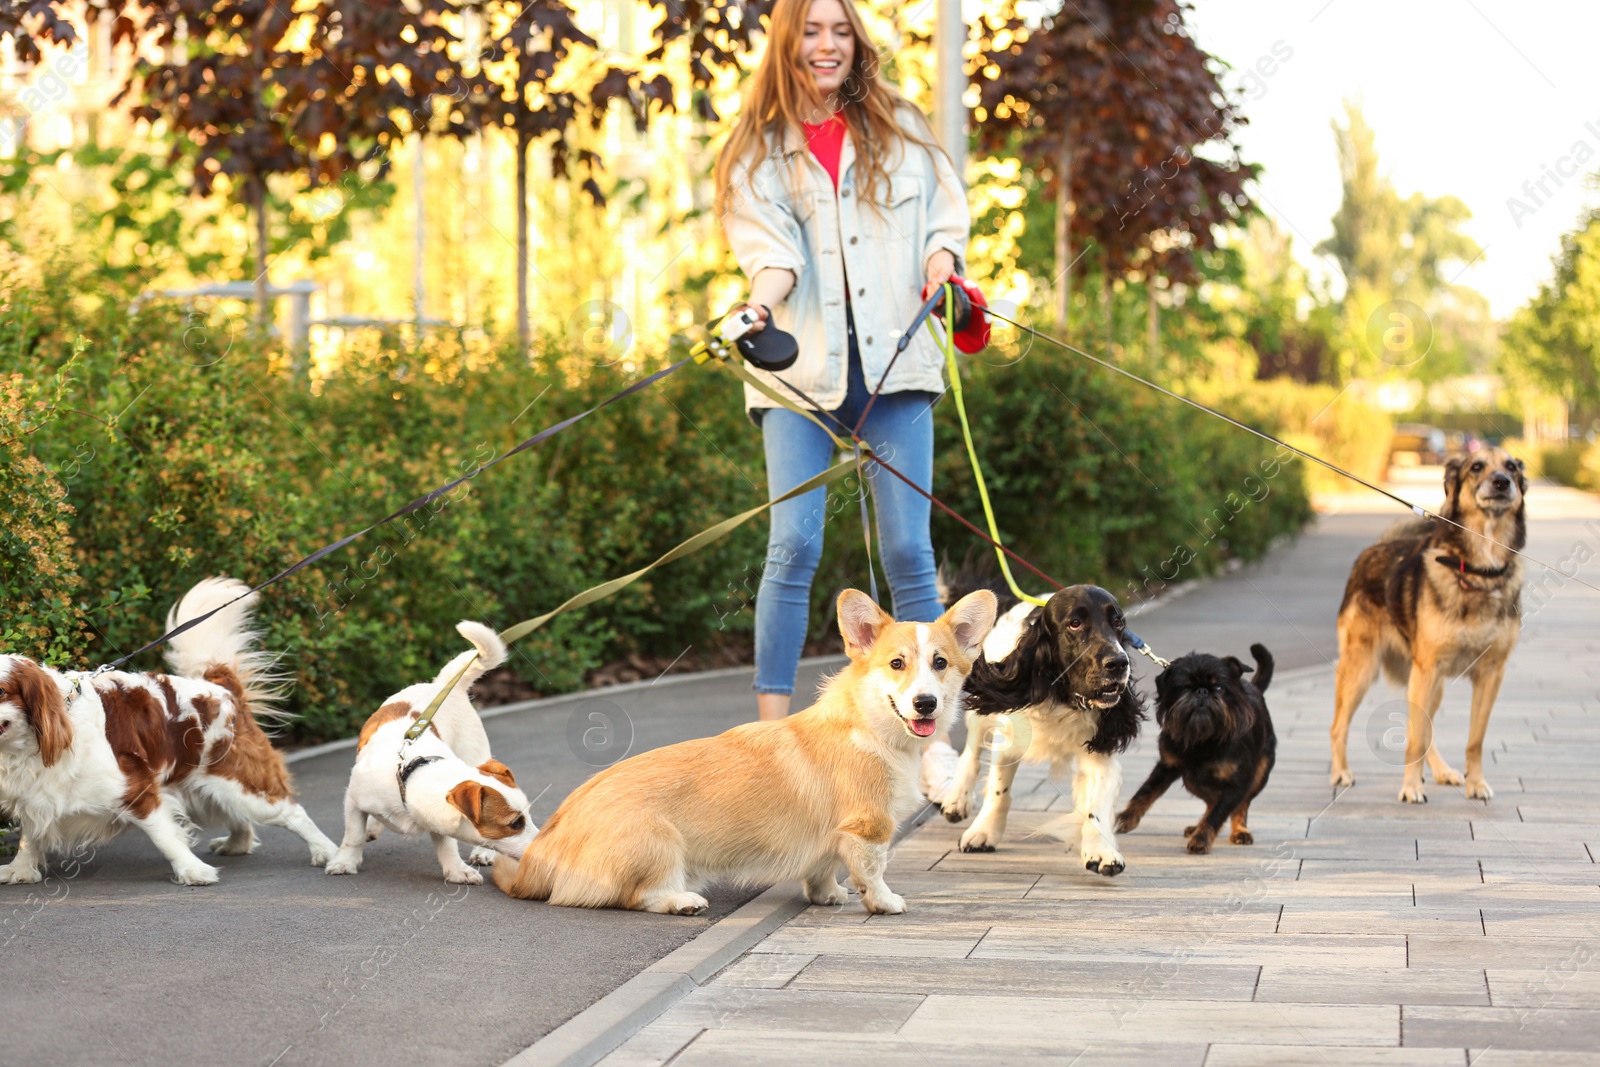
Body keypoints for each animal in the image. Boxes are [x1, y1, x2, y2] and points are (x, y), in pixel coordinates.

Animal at [0, 579, 334, 889]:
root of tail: (222, 688)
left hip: (242, 784)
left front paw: (193, 871)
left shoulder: (138, 789)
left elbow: (165, 837)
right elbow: (30, 836)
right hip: (206, 787)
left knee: (292, 813)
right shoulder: (34, 797)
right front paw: (20, 870)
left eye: (1, 690)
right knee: (239, 817)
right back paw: (236, 845)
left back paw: (327, 852)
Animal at [324, 617, 537, 883]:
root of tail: (444, 685)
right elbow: (352, 835)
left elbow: (446, 845)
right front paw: (345, 862)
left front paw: (456, 870)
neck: (409, 773)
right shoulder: (353, 800)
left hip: (475, 752)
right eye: (515, 823)